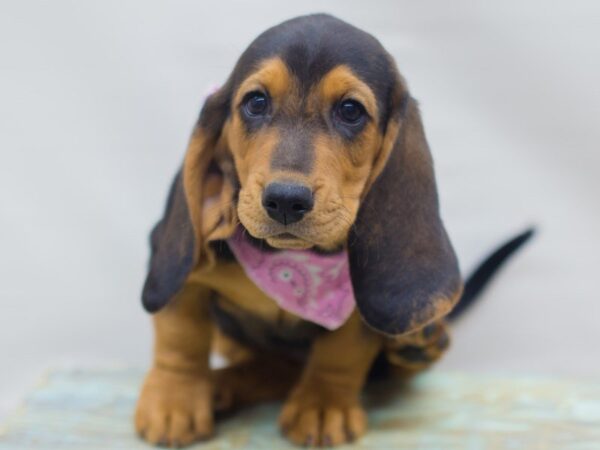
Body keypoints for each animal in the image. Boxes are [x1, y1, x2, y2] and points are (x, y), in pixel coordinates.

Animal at [134, 13, 532, 446]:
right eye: (256, 102)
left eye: (350, 110)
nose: (285, 200)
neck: (288, 259)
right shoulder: (183, 271)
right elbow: (181, 337)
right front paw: (175, 402)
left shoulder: (356, 308)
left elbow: (342, 351)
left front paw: (323, 405)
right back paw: (222, 387)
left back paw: (419, 344)